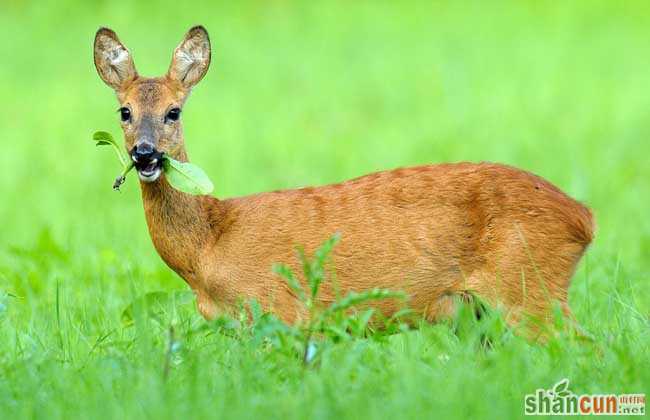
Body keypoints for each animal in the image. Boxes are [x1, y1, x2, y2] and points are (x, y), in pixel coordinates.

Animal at [92, 25, 592, 334]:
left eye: (173, 112)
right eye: (125, 112)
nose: (144, 154)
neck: (209, 247)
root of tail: (583, 218)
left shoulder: (282, 313)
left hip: (528, 287)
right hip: (482, 314)